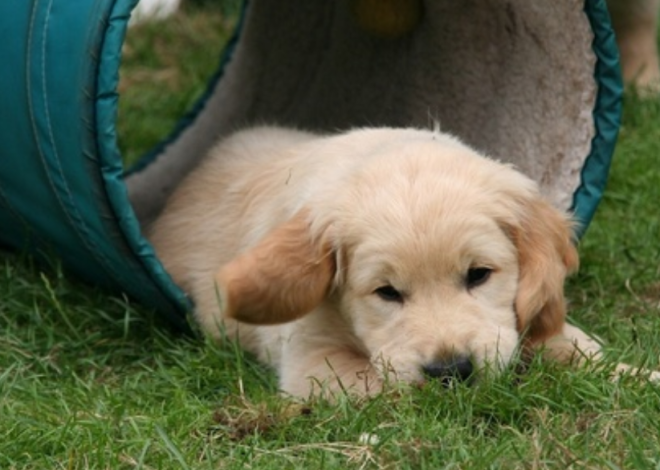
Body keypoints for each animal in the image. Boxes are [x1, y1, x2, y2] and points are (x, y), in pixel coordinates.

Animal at [148, 126, 604, 398]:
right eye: (387, 292)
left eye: (478, 275)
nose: (451, 370)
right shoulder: (311, 361)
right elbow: (388, 387)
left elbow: (571, 345)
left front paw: (612, 370)